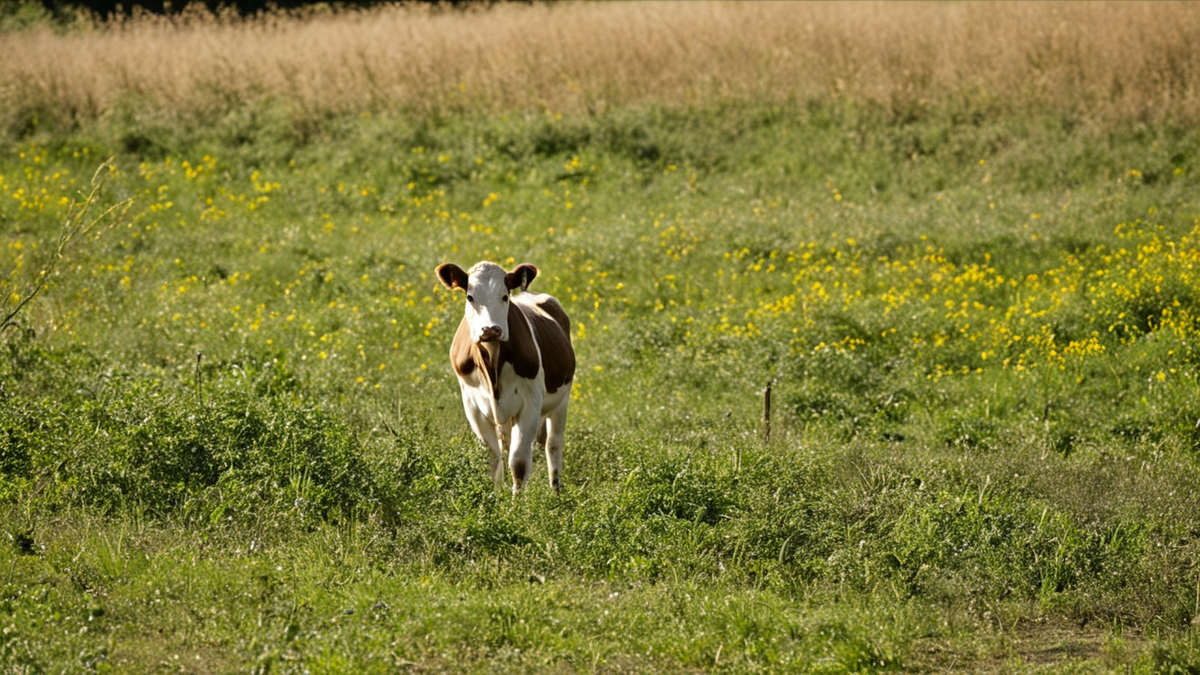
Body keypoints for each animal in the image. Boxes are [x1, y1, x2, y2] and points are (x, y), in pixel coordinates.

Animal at [436, 261, 575, 494]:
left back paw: (556, 491)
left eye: (504, 296)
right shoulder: (472, 405)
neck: (492, 363)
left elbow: (518, 463)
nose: (490, 329)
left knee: (553, 444)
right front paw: (496, 496)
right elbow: (492, 458)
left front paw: (515, 502)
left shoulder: (530, 403)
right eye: (470, 297)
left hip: (560, 403)